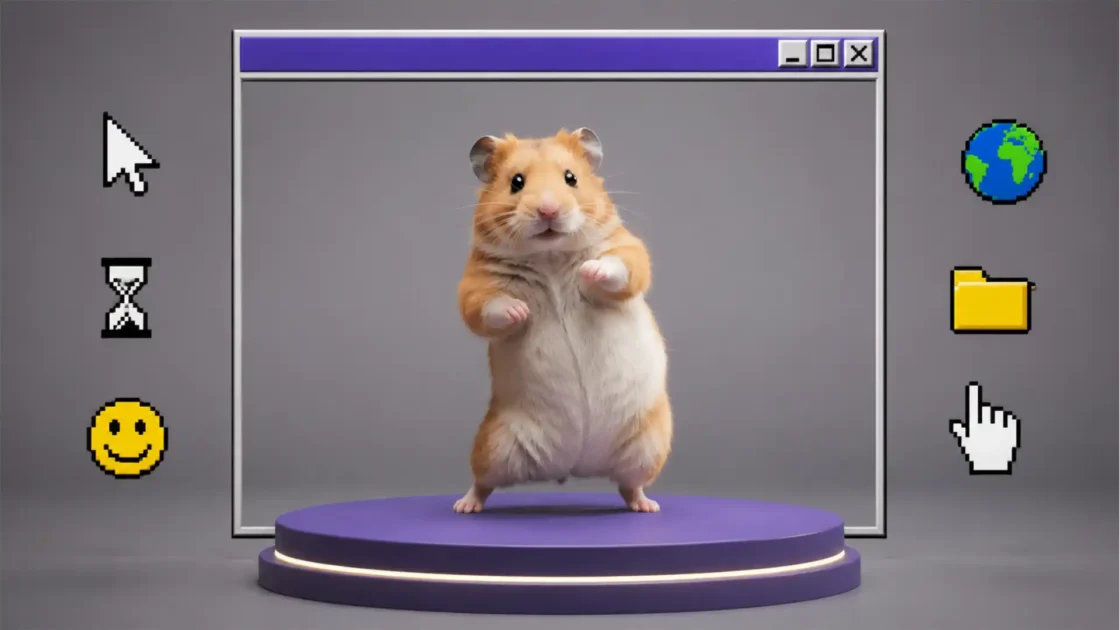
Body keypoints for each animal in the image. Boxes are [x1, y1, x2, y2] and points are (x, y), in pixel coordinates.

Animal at [454, 128, 672, 514]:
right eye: (516, 182)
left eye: (571, 178)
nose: (548, 210)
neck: (550, 255)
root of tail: (573, 466)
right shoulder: (475, 281)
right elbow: (484, 306)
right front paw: (520, 311)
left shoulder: (626, 246)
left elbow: (622, 266)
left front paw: (589, 271)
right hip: (492, 444)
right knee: (482, 483)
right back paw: (464, 506)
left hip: (651, 444)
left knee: (629, 485)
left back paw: (647, 506)